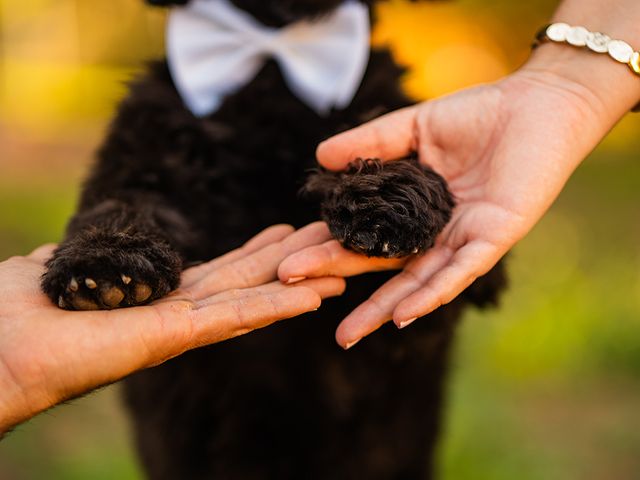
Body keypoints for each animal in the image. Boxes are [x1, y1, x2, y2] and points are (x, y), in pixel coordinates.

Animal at [42, 0, 508, 476]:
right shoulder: (142, 159)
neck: (272, 67)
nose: (105, 271)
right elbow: (118, 204)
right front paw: (105, 261)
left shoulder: (419, 329)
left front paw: (387, 199)